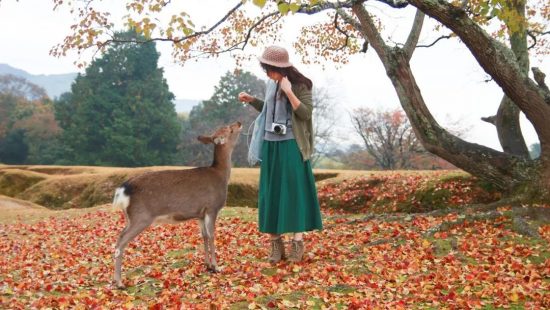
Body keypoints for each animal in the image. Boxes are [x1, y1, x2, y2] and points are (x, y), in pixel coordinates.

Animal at [111, 120, 243, 288]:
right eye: (230, 129)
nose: (239, 122)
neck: (221, 175)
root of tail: (123, 190)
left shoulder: (200, 214)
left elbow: (204, 236)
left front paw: (207, 265)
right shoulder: (212, 207)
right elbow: (212, 235)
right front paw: (216, 266)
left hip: (130, 216)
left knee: (119, 237)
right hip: (141, 216)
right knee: (121, 241)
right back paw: (119, 282)